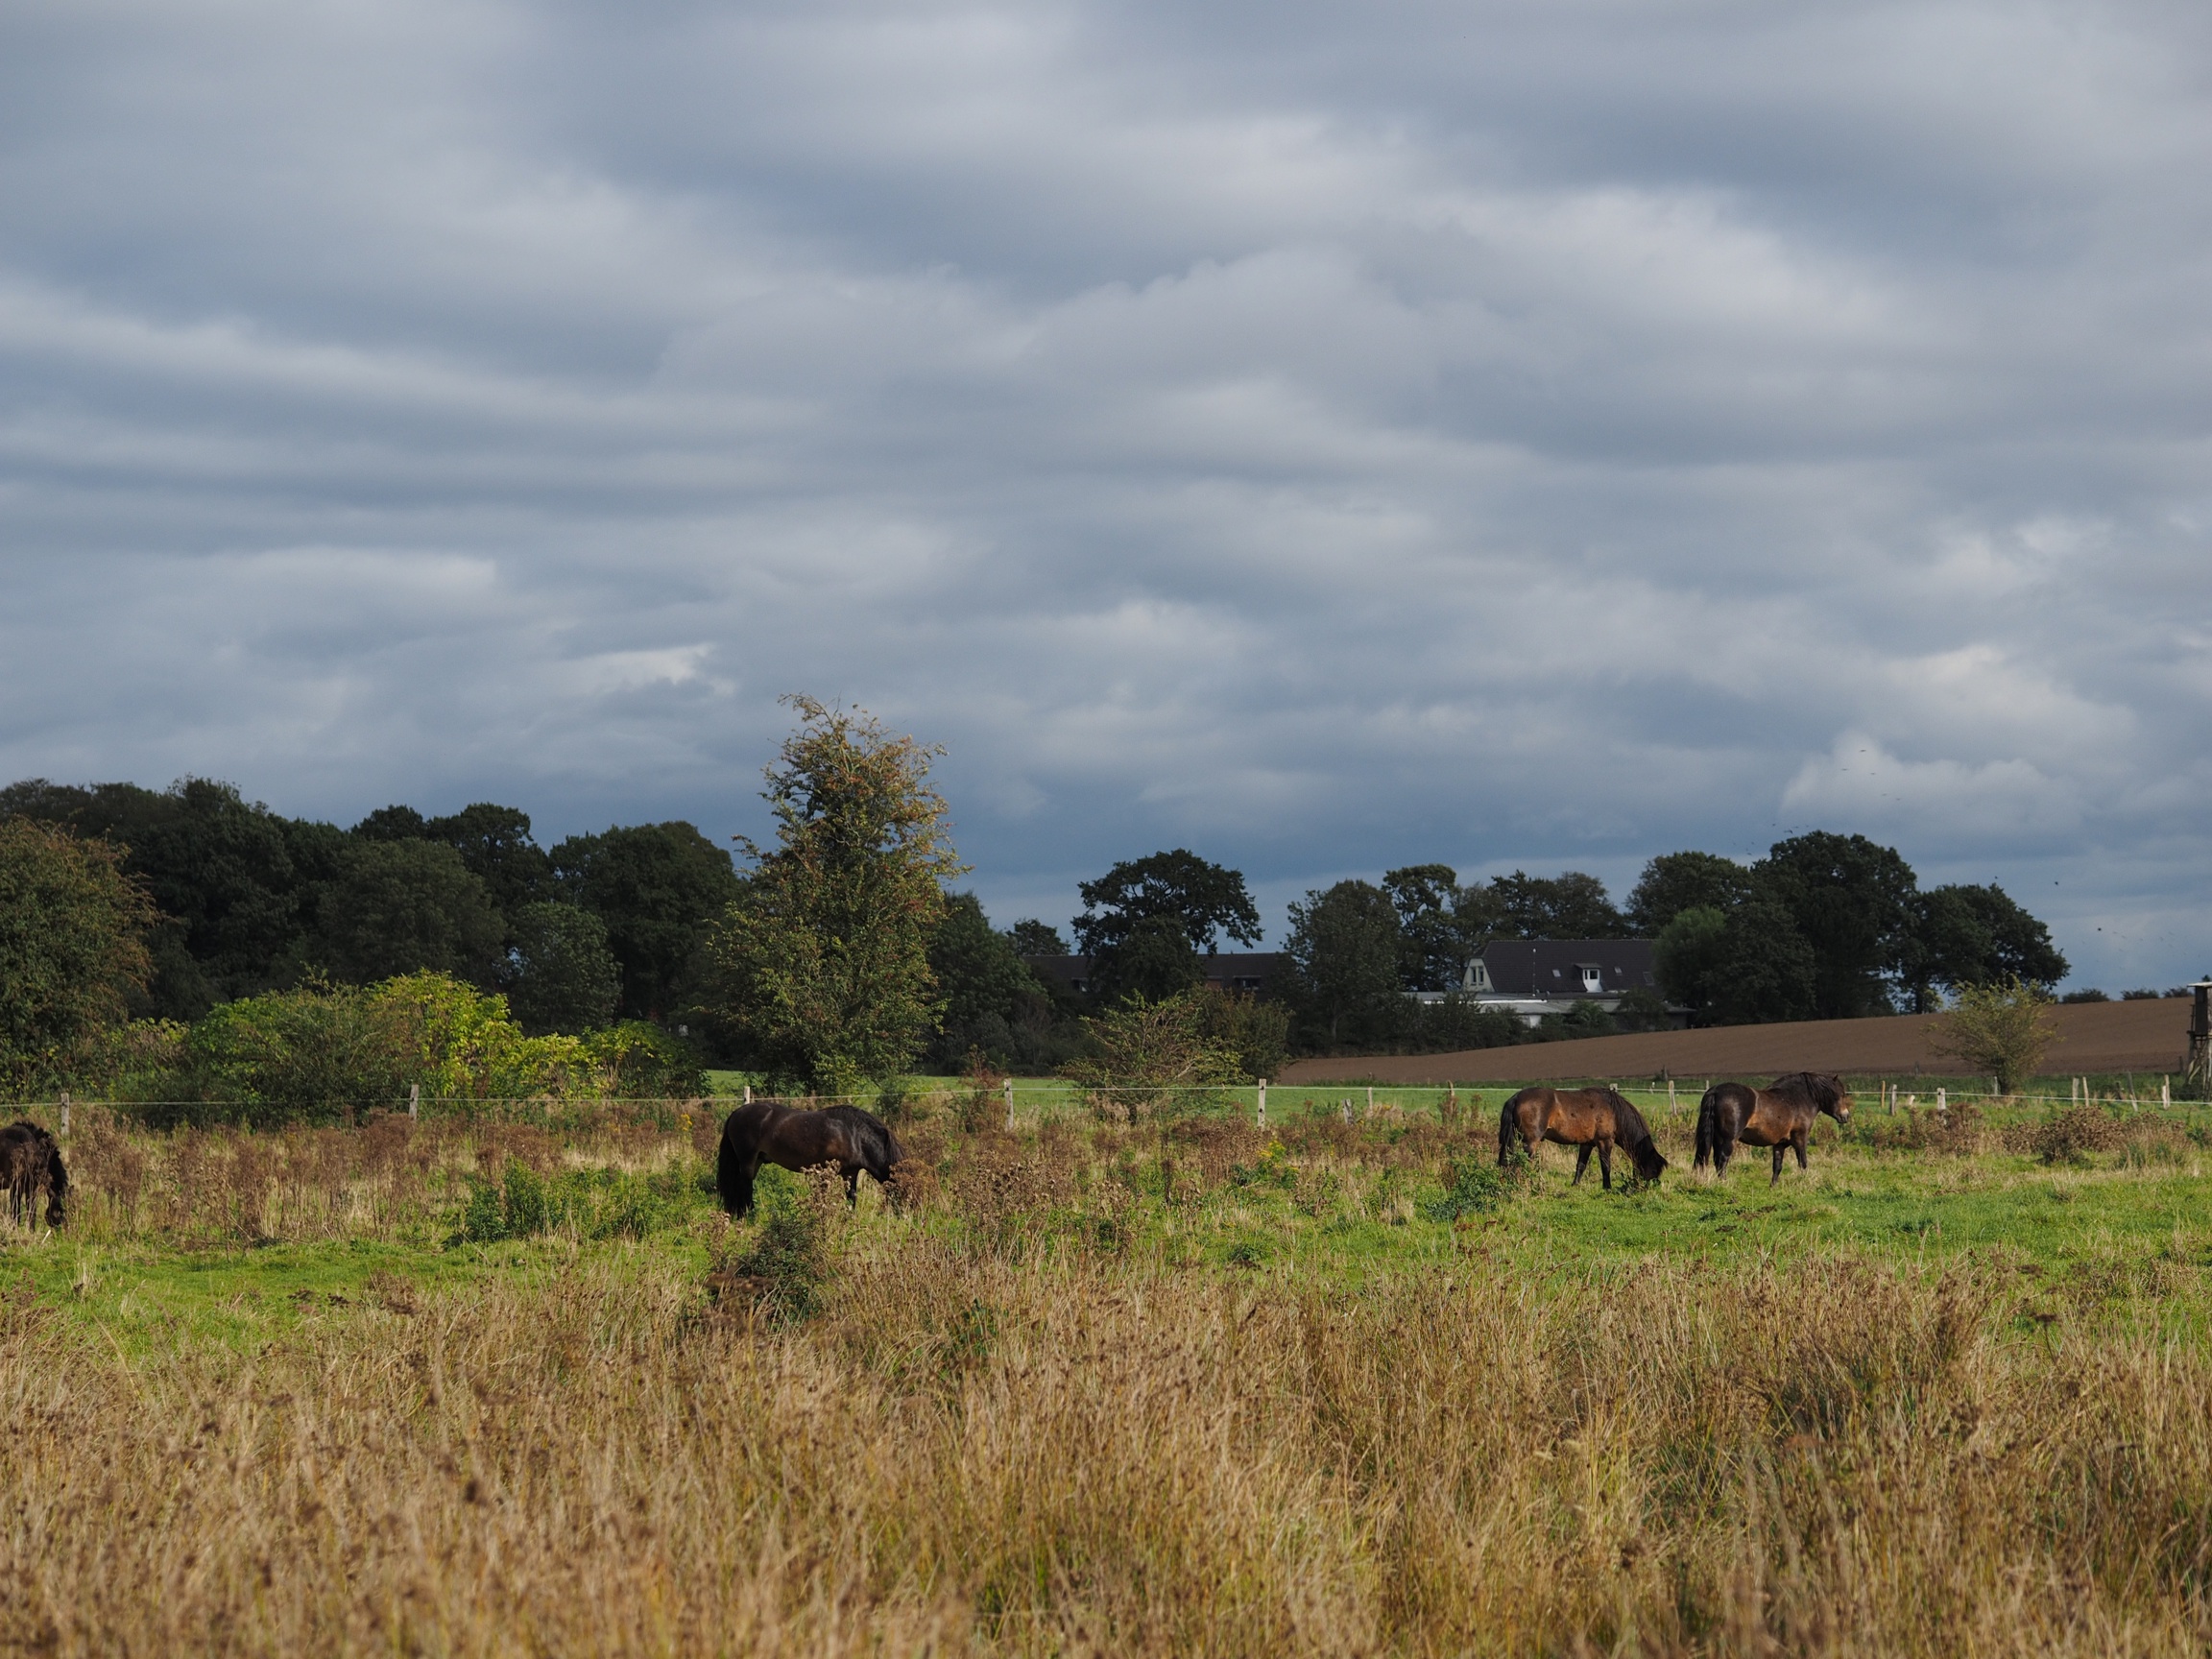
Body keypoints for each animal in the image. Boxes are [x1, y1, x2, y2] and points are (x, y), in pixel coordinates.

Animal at [716, 1106, 906, 1220]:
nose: (906, 1218)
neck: (855, 1135)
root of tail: (736, 1113)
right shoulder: (826, 1173)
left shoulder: (850, 1173)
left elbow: (851, 1197)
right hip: (747, 1160)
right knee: (744, 1187)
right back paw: (746, 1215)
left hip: (756, 1161)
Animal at [1495, 1083, 1663, 1185]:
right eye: (1654, 1169)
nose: (1645, 1188)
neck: (1614, 1111)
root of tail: (1516, 1097)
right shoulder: (1605, 1142)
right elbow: (1606, 1166)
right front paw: (1607, 1187)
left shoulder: (1587, 1144)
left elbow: (1581, 1165)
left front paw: (1575, 1184)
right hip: (1530, 1142)